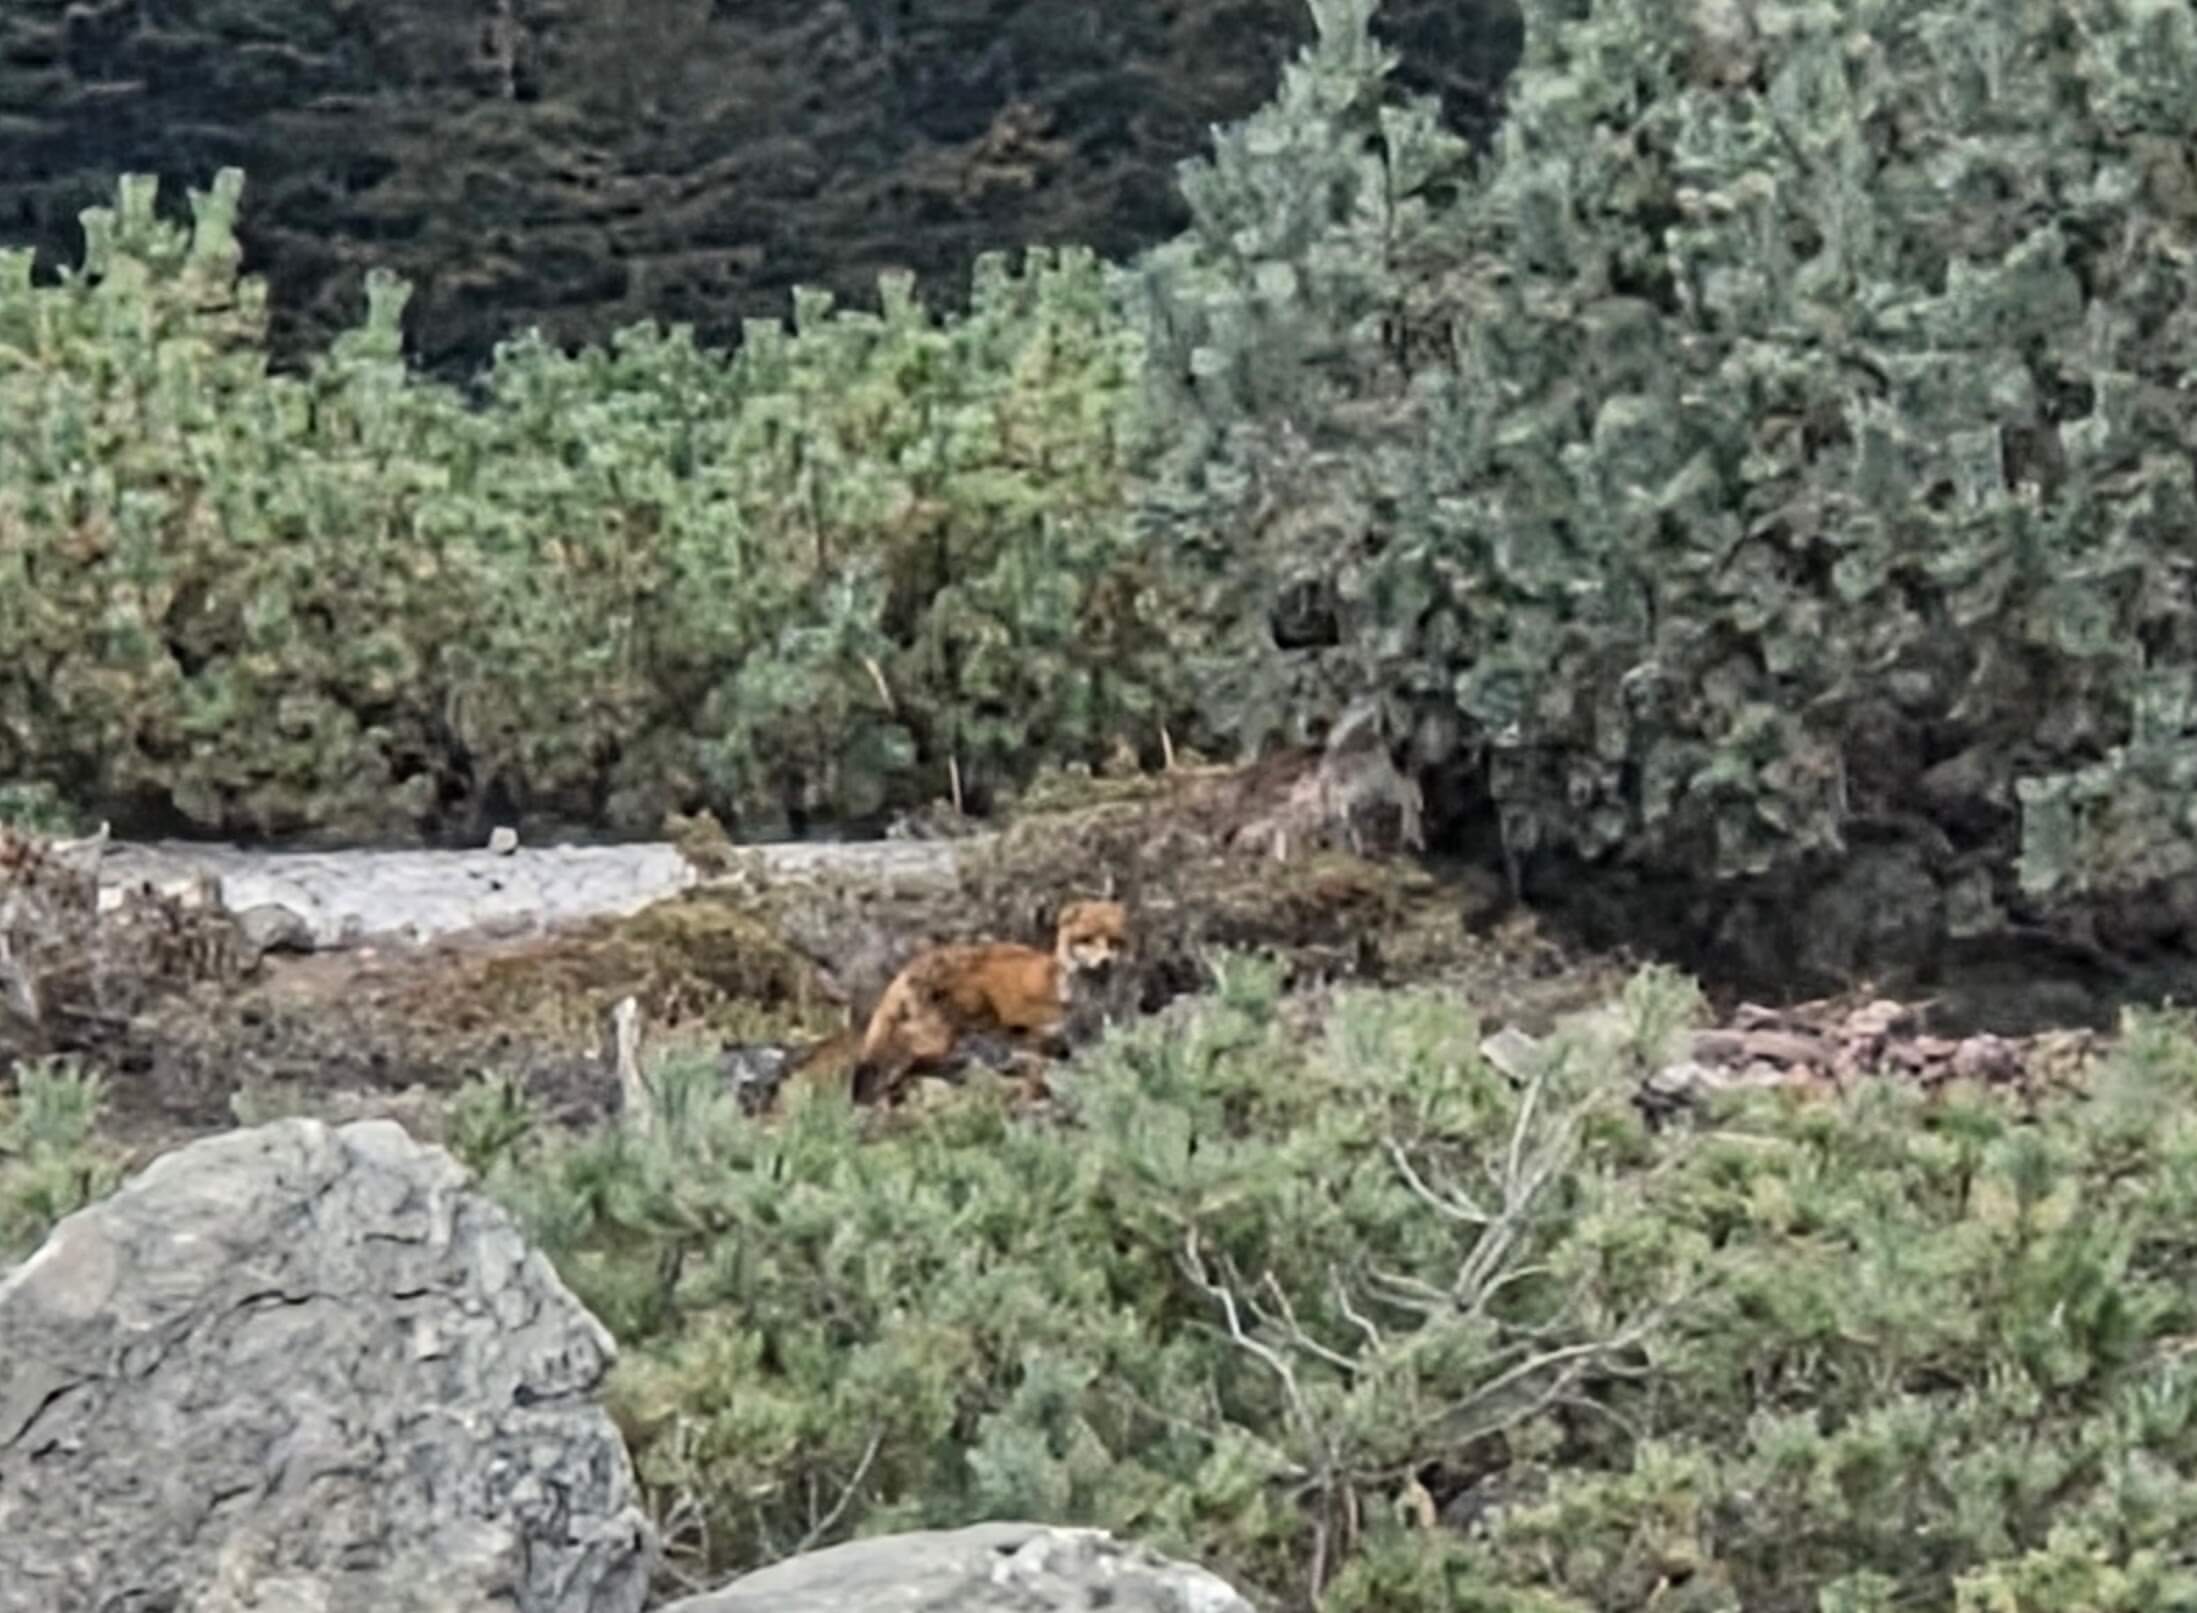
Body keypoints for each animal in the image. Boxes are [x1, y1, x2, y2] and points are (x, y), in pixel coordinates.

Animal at [848, 898, 1130, 1106]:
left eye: (1113, 941)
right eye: (1087, 939)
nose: (1105, 962)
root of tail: (909, 968)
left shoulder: (1072, 1042)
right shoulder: (1036, 1036)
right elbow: (1037, 1075)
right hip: (945, 1038)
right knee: (906, 1068)